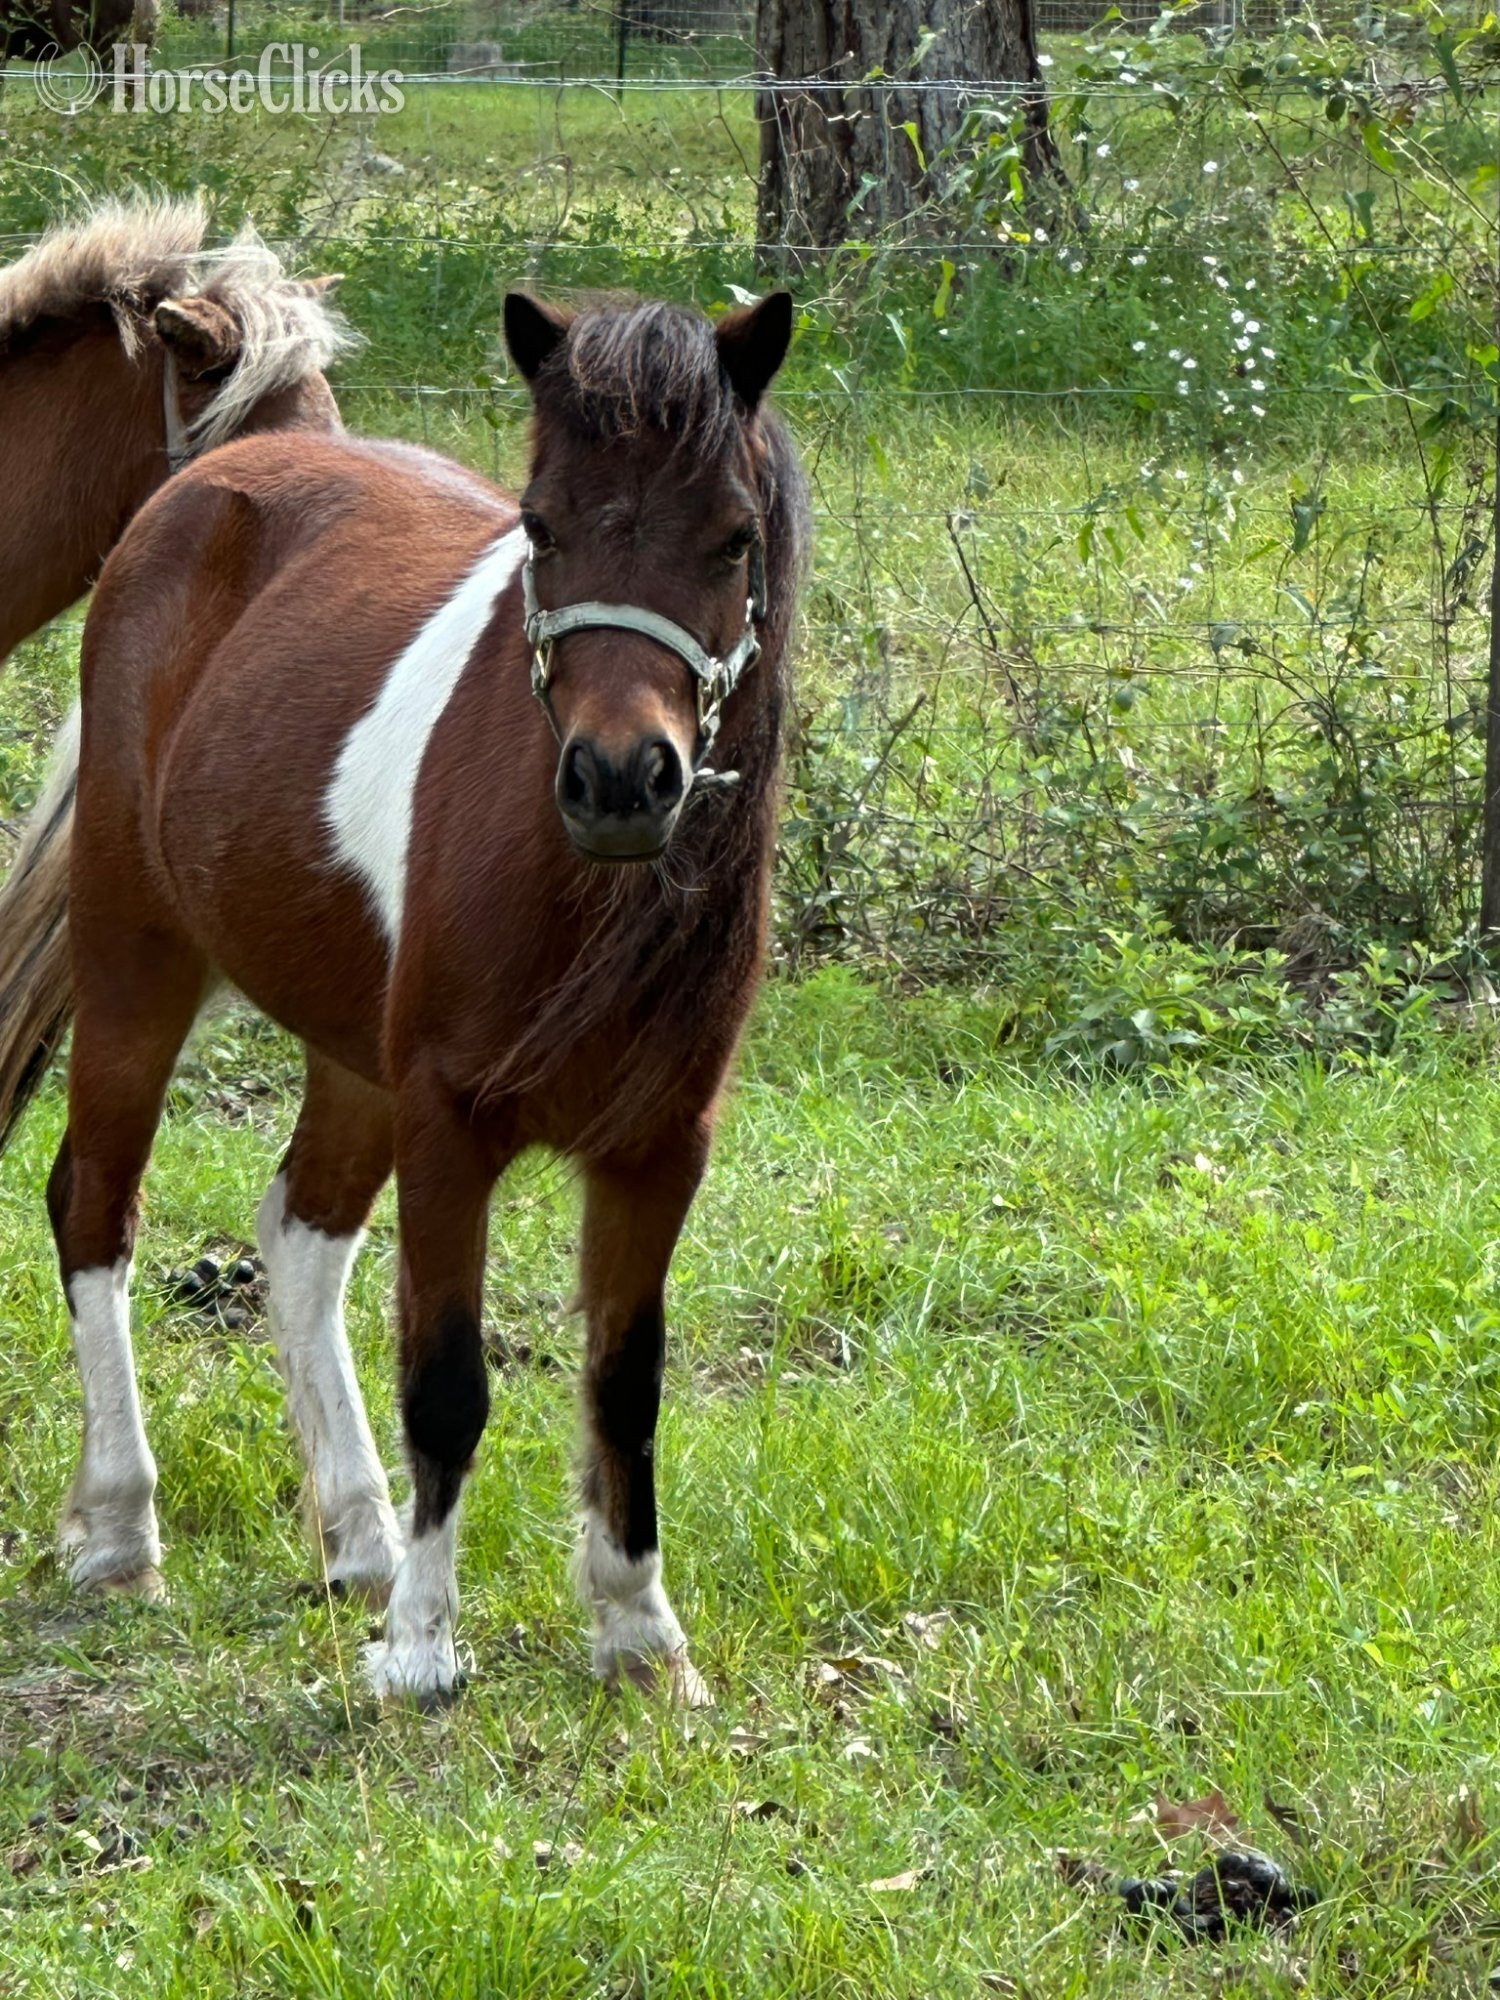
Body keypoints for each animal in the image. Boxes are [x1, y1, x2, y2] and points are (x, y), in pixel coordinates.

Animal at [0, 286, 807, 1706]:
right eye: (541, 523)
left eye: (733, 537)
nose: (620, 778)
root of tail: (197, 489)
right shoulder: (448, 1121)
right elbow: (448, 1379)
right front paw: (424, 1646)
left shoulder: (661, 1145)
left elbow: (626, 1382)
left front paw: (641, 1633)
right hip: (138, 961)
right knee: (94, 1204)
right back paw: (122, 1527)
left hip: (350, 1048)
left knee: (300, 1234)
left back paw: (360, 1537)